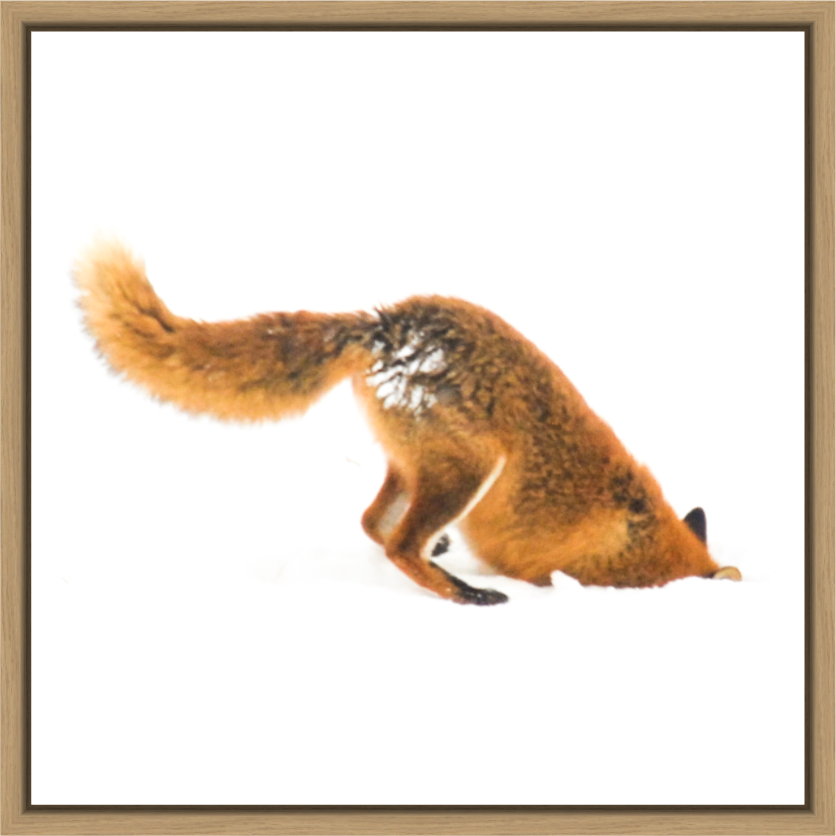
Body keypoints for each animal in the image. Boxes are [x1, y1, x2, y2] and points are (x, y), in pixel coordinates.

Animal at [74, 239, 741, 605]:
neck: (639, 540)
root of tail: (387, 323)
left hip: (412, 463)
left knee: (373, 522)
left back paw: (441, 559)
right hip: (470, 467)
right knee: (397, 544)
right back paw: (468, 595)